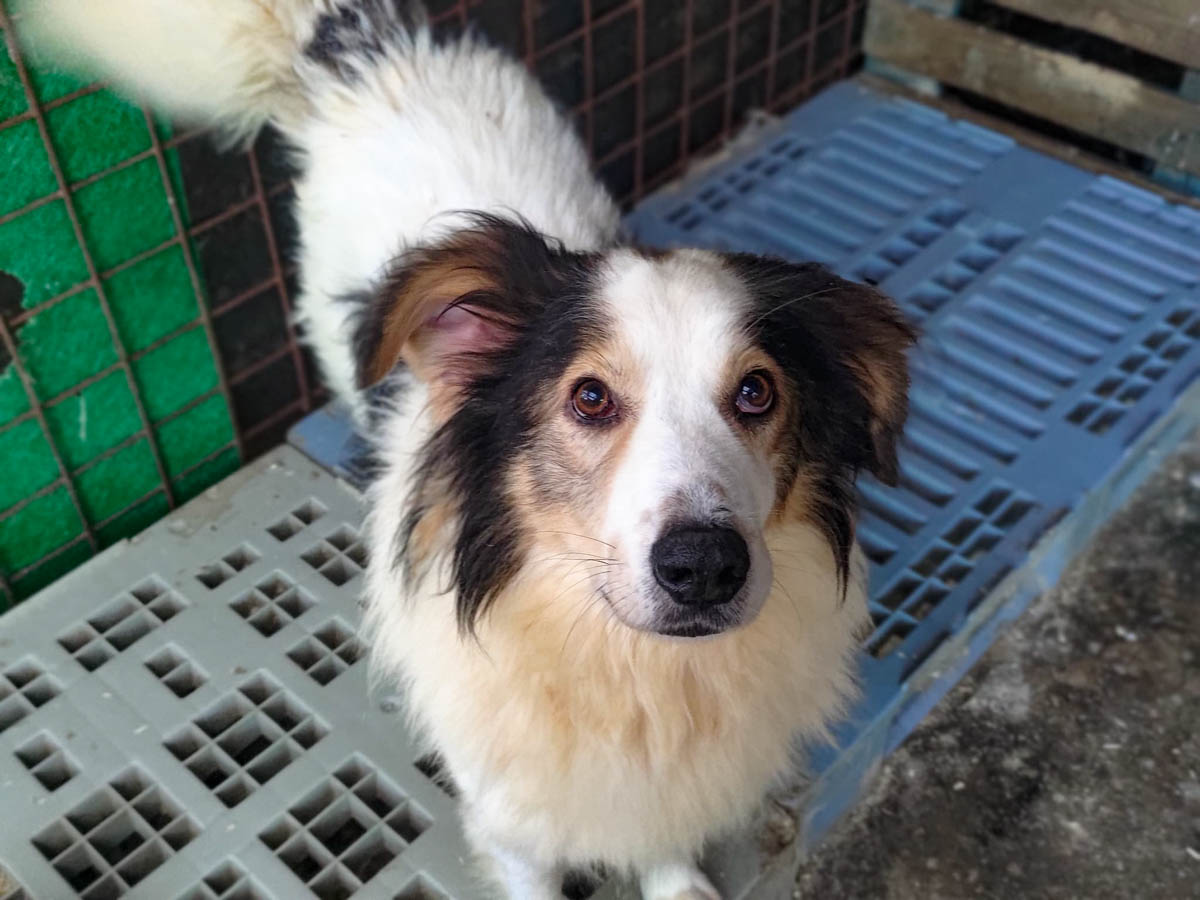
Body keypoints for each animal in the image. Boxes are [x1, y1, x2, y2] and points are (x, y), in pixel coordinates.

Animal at [31, 2, 914, 896]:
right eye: (589, 397)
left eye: (757, 392)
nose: (703, 566)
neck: (632, 668)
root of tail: (367, 44)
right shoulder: (511, 817)